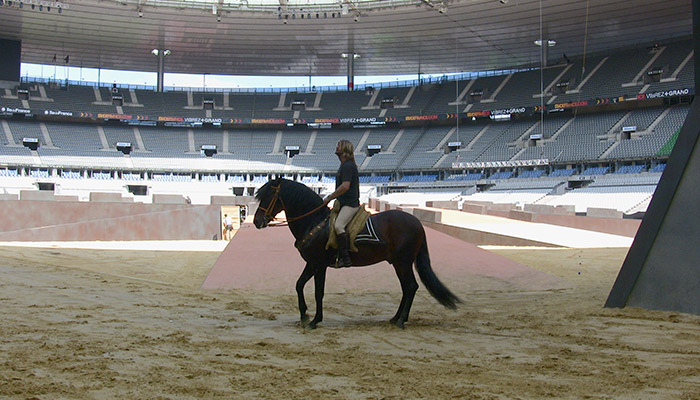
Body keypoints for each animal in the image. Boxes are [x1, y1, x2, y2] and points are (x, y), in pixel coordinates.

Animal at [252, 178, 460, 328]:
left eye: (269, 195)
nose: (256, 221)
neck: (314, 222)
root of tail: (417, 223)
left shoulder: (319, 265)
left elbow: (318, 292)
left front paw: (315, 320)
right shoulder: (311, 263)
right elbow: (299, 285)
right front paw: (304, 315)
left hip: (403, 263)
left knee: (410, 287)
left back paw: (401, 320)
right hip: (398, 264)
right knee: (407, 288)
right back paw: (395, 318)